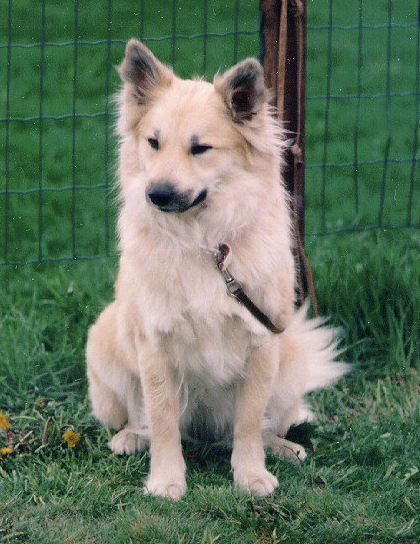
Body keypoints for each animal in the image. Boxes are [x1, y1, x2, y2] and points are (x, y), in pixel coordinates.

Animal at [85, 40, 348, 500]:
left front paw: (250, 474)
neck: (205, 243)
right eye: (153, 143)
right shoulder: (155, 346)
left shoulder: (262, 341)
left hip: (290, 360)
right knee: (138, 416)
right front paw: (166, 480)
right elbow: (163, 421)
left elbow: (248, 422)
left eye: (200, 149)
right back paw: (130, 437)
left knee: (261, 425)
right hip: (104, 342)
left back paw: (280, 446)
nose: (157, 194)